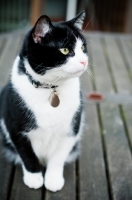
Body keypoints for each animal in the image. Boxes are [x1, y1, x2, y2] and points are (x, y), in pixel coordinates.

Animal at [0, 10, 88, 192]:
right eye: (65, 50)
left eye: (83, 48)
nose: (84, 61)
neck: (49, 87)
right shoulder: (14, 127)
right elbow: (27, 154)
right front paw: (34, 178)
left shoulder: (71, 129)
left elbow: (58, 157)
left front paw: (53, 179)